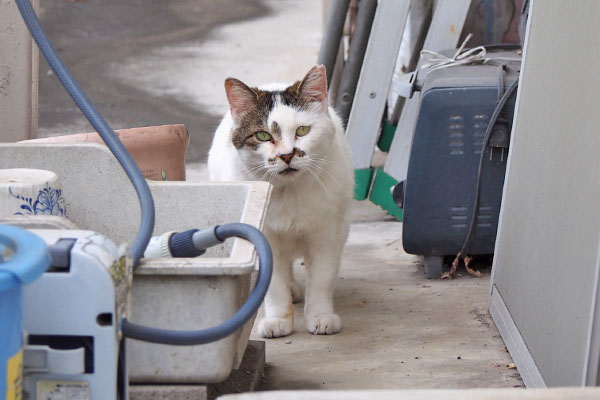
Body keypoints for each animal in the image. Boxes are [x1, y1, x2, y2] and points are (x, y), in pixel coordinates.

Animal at [209, 65, 354, 338]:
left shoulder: (328, 234)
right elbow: (273, 282)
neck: (289, 193)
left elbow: (321, 278)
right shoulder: (264, 238)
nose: (286, 155)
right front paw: (277, 319)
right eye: (263, 135)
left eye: (303, 131)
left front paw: (321, 316)